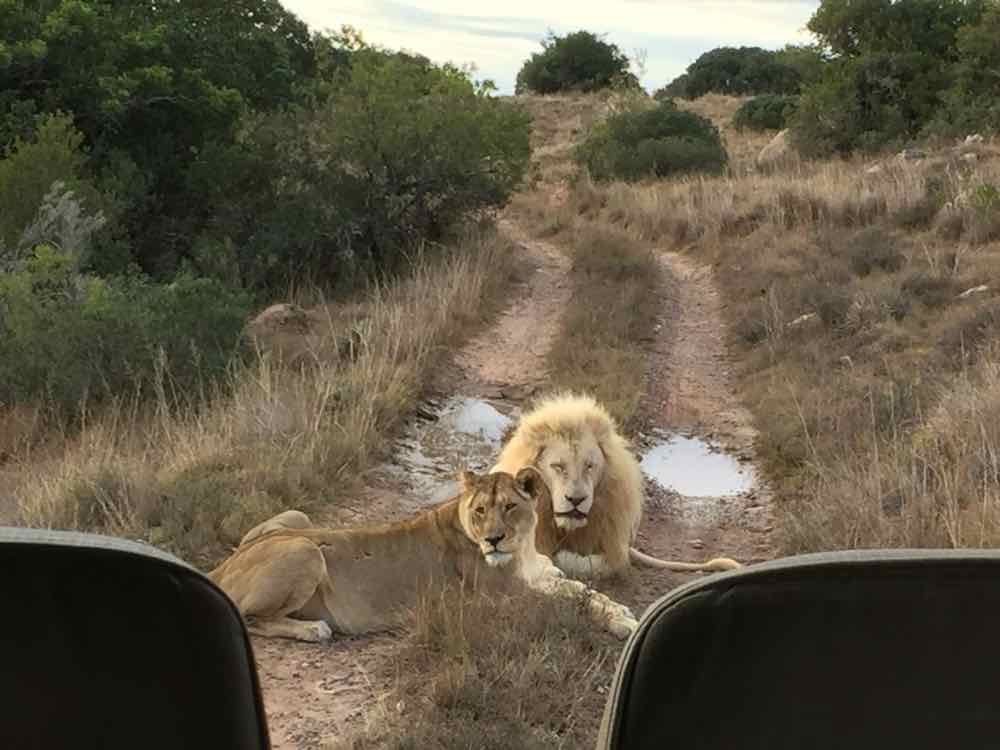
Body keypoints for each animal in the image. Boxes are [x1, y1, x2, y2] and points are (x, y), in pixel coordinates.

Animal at [209, 467, 638, 642]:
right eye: (480, 510)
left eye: (509, 507)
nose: (493, 540)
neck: (522, 548)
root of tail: (221, 566)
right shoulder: (502, 603)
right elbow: (573, 603)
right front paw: (623, 622)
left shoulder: (541, 577)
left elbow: (581, 590)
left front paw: (620, 610)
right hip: (306, 549)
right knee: (249, 618)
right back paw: (314, 629)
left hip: (297, 519)